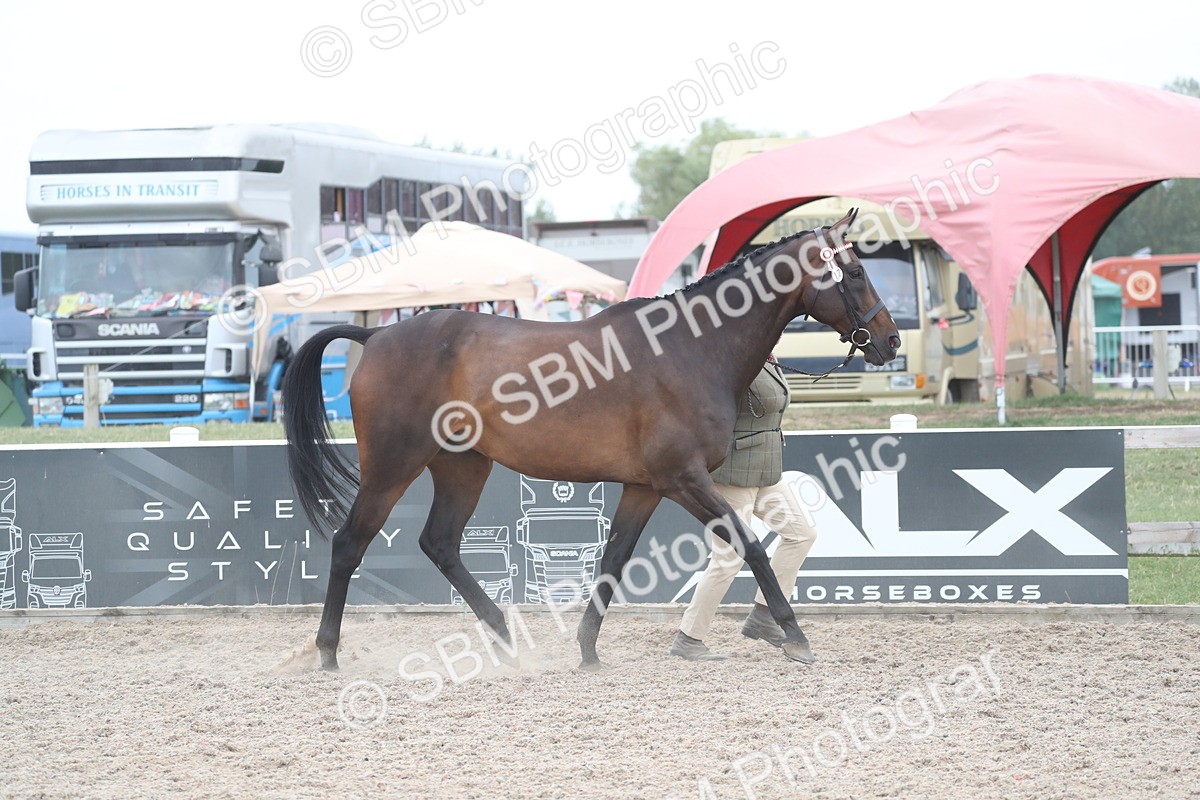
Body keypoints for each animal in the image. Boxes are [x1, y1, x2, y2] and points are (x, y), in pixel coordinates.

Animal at [282, 209, 901, 670]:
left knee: (439, 544)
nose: (890, 340)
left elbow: (614, 559)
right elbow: (749, 547)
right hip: (392, 467)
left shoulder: (644, 487)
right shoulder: (684, 479)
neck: (690, 348)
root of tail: (377, 335)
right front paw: (794, 635)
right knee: (350, 544)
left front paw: (586, 650)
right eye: (854, 273)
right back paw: (328, 652)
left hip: (463, 467)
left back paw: (505, 640)